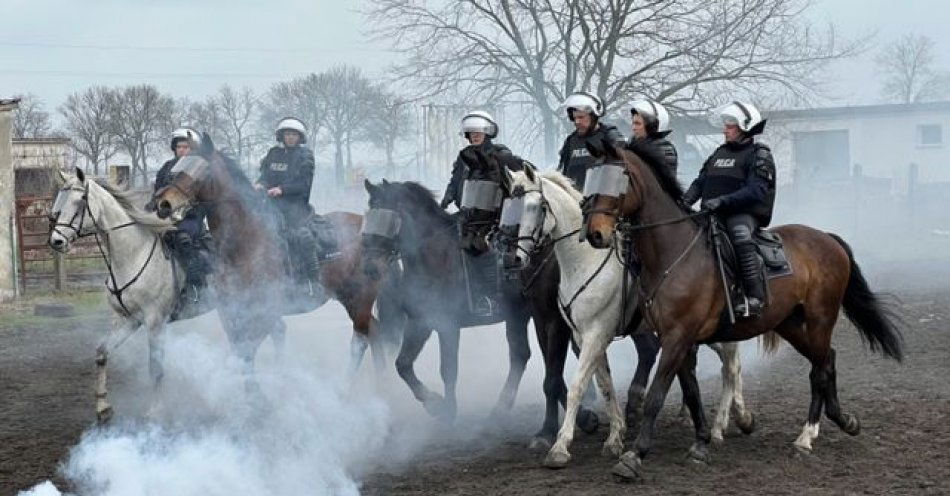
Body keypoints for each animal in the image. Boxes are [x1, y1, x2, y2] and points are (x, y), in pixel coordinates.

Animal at [152, 136, 398, 376]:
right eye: (180, 165)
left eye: (200, 170)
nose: (163, 202)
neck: (246, 241)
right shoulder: (231, 310)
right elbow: (240, 349)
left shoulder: (266, 313)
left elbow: (248, 352)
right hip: (348, 297)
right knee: (375, 334)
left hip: (360, 298)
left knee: (360, 341)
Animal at [506, 169, 752, 466]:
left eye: (537, 207)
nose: (516, 258)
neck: (585, 261)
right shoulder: (583, 335)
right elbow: (604, 384)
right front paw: (614, 437)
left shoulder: (592, 333)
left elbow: (576, 384)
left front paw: (560, 446)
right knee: (727, 366)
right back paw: (726, 418)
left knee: (731, 366)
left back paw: (723, 425)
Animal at [580, 143, 908, 480]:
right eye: (594, 175)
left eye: (619, 178)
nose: (595, 234)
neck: (674, 254)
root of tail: (828, 239)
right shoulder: (679, 340)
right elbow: (691, 392)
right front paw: (701, 443)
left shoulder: (677, 337)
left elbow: (656, 395)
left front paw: (634, 455)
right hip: (790, 324)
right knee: (826, 359)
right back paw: (843, 421)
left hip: (821, 318)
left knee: (819, 369)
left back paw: (806, 437)